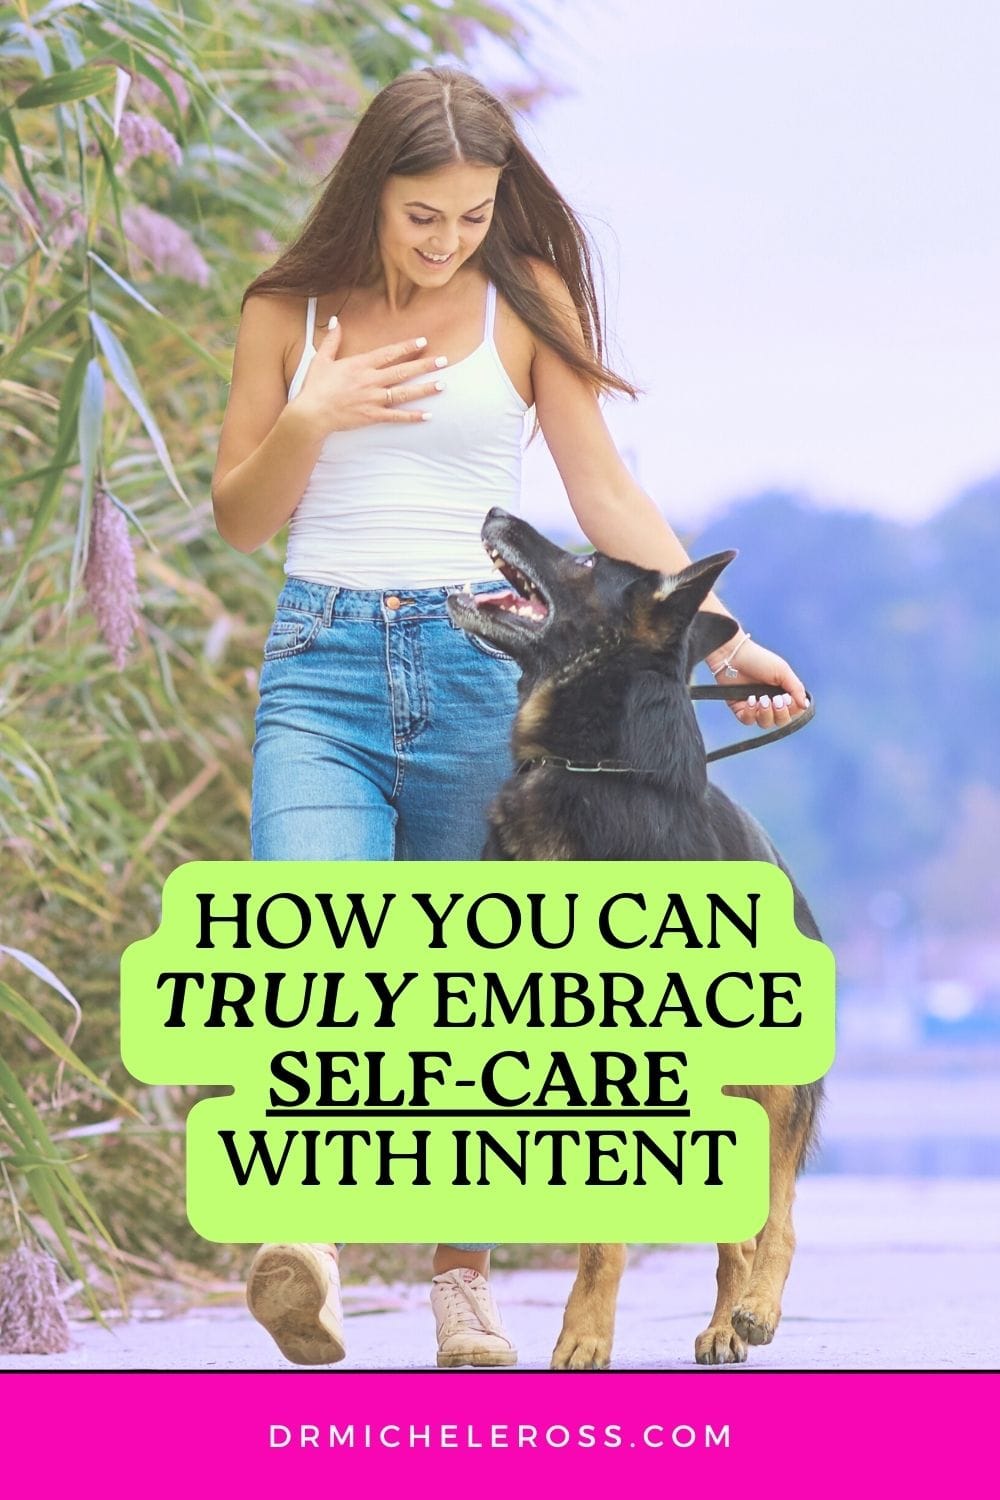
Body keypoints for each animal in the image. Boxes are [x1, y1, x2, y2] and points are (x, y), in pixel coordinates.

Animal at [449, 507, 827, 1374]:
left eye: (589, 562)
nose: (495, 512)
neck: (591, 768)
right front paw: (586, 1327)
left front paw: (585, 1332)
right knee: (736, 1236)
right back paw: (726, 1323)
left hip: (772, 1090)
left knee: (777, 1218)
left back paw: (756, 1310)